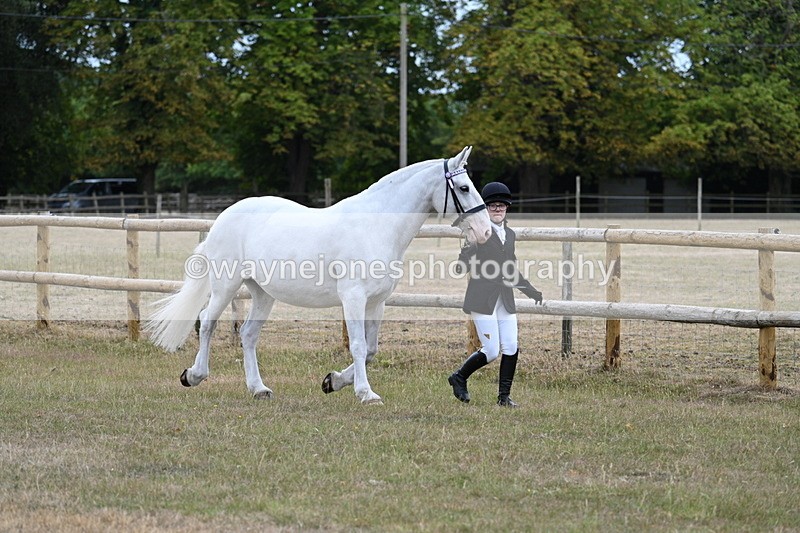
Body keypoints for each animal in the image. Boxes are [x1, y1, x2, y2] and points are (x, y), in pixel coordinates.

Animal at [145, 146, 492, 405]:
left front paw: (333, 381)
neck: (375, 227)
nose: (485, 231)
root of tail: (224, 217)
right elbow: (358, 345)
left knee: (248, 334)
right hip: (226, 285)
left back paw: (259, 389)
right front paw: (366, 393)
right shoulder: (353, 298)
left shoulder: (377, 302)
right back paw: (194, 375)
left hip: (262, 294)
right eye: (464, 188)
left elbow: (372, 349)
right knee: (207, 322)